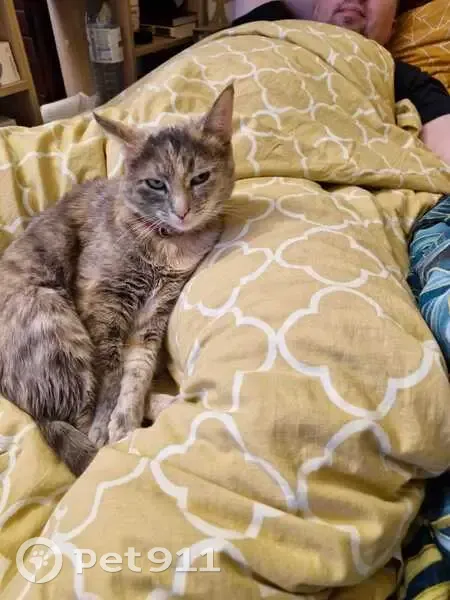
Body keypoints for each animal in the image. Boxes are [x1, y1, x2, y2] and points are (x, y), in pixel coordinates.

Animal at [0, 84, 235, 476]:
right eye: (155, 184)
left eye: (200, 178)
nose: (183, 211)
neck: (167, 244)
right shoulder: (101, 303)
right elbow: (110, 374)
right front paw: (107, 424)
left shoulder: (154, 313)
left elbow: (138, 369)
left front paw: (127, 415)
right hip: (53, 319)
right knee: (77, 414)